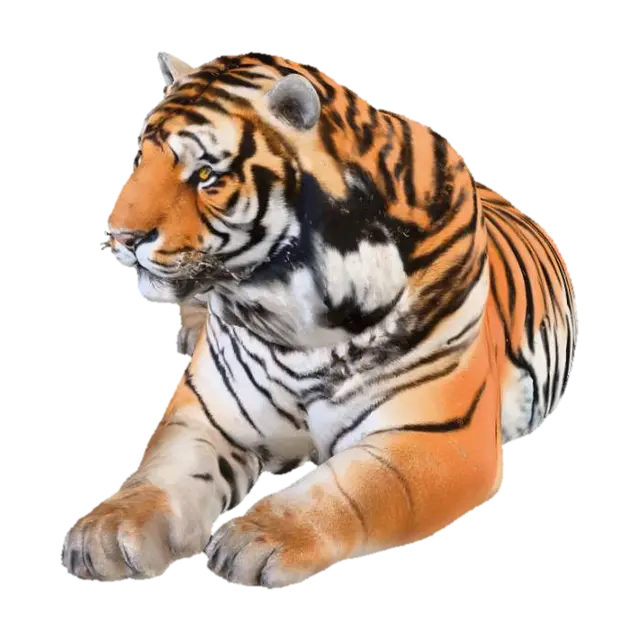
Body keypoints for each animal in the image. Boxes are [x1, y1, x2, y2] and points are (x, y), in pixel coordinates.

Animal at [63, 50, 579, 588]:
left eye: (205, 175)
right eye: (142, 158)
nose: (119, 235)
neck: (294, 322)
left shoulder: (440, 438)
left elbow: (351, 490)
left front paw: (260, 537)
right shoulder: (207, 415)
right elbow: (161, 472)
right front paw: (109, 530)